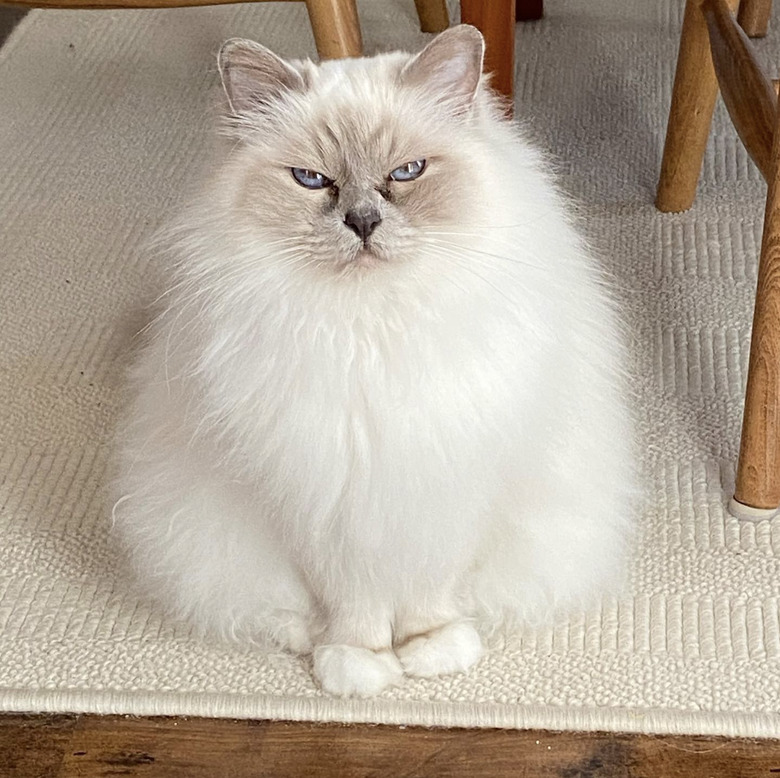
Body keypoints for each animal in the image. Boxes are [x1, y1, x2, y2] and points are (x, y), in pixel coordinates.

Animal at [114, 27, 632, 696]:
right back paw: (307, 639)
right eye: (311, 179)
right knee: (275, 610)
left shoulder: (445, 488)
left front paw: (431, 651)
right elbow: (353, 608)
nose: (362, 221)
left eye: (407, 172)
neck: (370, 332)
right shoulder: (321, 505)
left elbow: (428, 595)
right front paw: (359, 668)